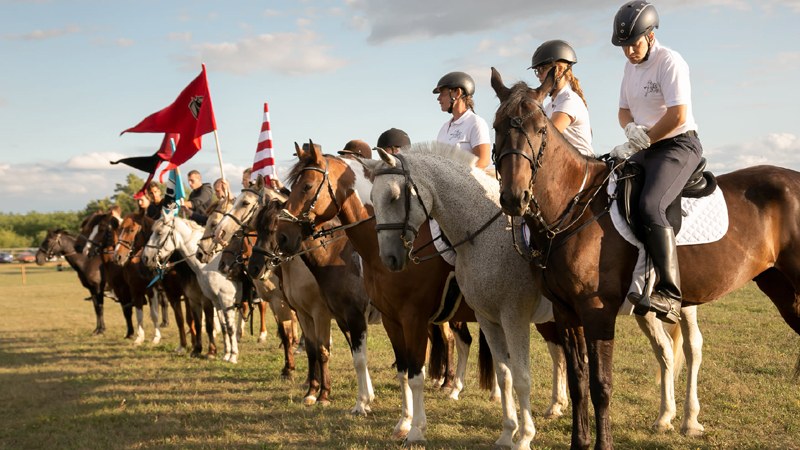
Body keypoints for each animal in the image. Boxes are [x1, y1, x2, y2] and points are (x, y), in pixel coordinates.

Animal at [143, 214, 244, 366]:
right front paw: (224, 354)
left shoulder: (222, 301)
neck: (210, 265)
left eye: (159, 233)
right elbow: (220, 326)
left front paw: (230, 355)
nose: (145, 258)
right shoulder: (212, 301)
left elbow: (221, 327)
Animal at [488, 67, 800, 450]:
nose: (514, 198)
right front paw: (579, 442)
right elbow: (578, 383)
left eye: (541, 129)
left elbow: (601, 385)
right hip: (781, 289)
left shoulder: (597, 311)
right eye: (497, 126)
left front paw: (603, 444)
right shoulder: (565, 311)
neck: (573, 206)